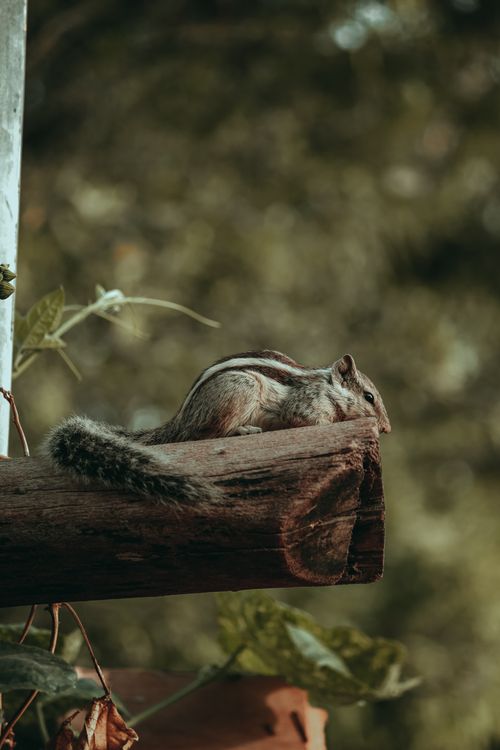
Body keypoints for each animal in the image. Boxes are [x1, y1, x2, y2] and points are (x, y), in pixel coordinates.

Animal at [43, 350, 391, 506]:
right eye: (369, 397)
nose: (386, 428)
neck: (327, 387)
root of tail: (180, 421)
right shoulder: (305, 404)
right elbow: (309, 420)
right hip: (240, 390)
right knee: (205, 434)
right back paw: (243, 431)